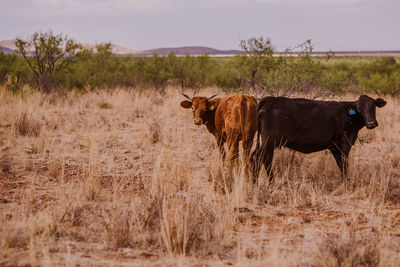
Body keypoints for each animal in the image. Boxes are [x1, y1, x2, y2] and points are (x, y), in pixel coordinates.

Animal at [252, 95, 386, 181]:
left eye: (373, 107)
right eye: (359, 109)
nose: (371, 123)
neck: (348, 115)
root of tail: (271, 100)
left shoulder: (334, 147)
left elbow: (340, 165)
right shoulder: (344, 144)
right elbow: (344, 165)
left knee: (256, 157)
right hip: (269, 142)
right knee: (263, 159)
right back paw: (269, 181)